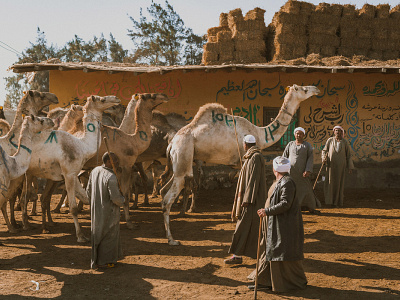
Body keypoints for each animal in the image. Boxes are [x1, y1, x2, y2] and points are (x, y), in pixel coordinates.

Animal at [19, 94, 120, 241]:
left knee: (30, 197)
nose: (116, 99)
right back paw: (25, 225)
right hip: (26, 174)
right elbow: (73, 208)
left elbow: (87, 198)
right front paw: (81, 236)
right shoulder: (69, 174)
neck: (82, 145)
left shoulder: (75, 173)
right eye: (101, 99)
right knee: (24, 198)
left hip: (30, 173)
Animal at [161, 84, 320, 244]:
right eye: (304, 89)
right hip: (183, 155)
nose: (316, 89)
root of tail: (172, 144)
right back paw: (172, 239)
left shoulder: (239, 163)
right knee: (168, 199)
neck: (260, 134)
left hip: (177, 165)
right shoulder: (245, 158)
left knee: (163, 190)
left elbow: (236, 180)